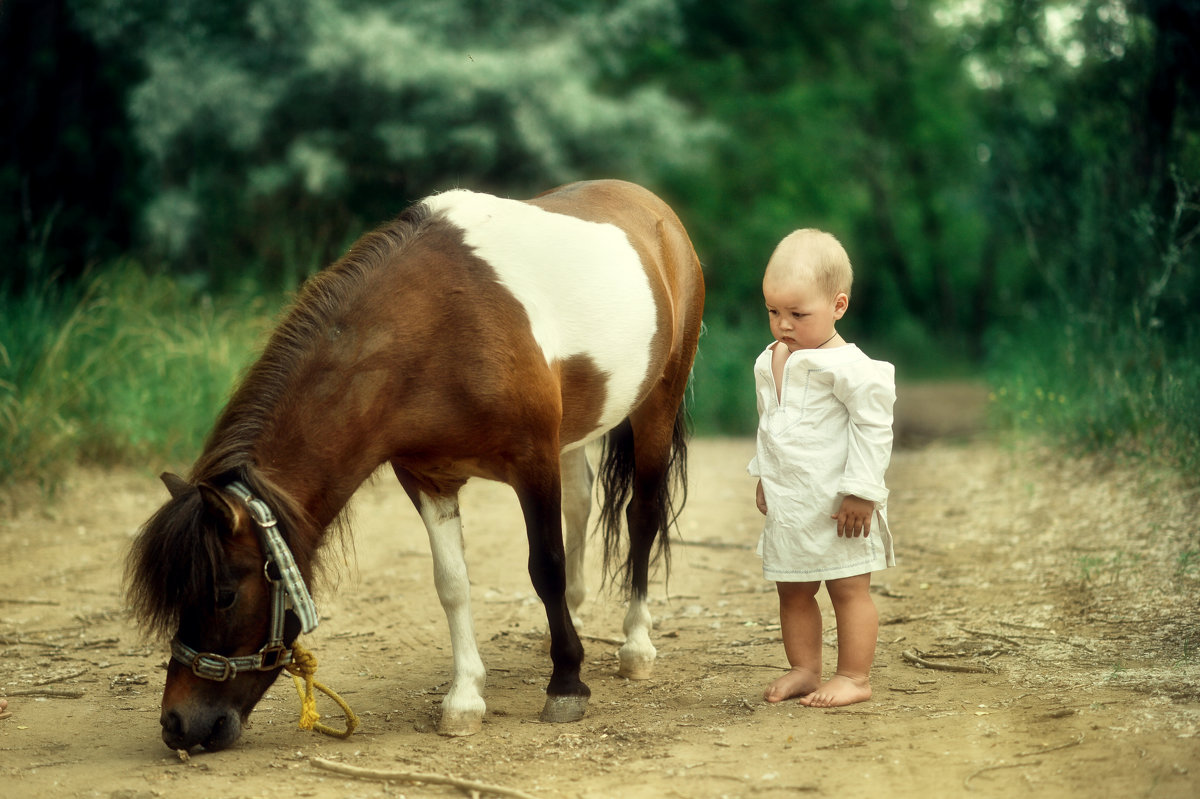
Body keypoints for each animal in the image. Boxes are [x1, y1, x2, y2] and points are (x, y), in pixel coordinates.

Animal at [124, 178, 700, 748]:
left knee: (642, 516)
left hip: (657, 404)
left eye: (223, 595)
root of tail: (653, 206)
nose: (179, 725)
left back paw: (636, 645)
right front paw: (465, 698)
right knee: (582, 502)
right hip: (578, 431)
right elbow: (452, 583)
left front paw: (566, 683)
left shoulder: (533, 462)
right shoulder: (427, 477)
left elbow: (546, 567)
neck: (437, 330)